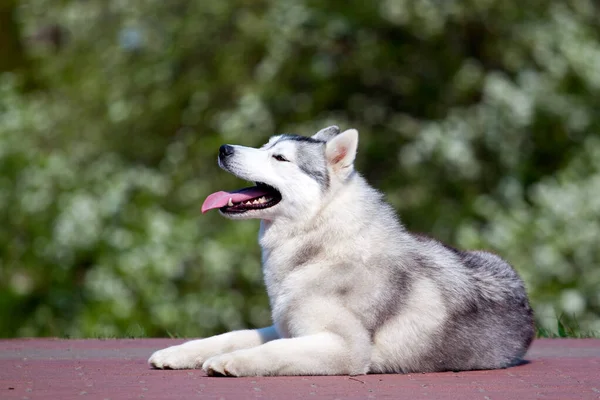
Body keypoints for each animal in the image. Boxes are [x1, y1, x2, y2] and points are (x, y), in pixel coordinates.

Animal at [150, 126, 536, 376]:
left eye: (279, 158)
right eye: (265, 145)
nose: (224, 148)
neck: (322, 245)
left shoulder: (343, 348)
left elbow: (268, 350)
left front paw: (232, 361)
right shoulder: (286, 326)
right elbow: (228, 337)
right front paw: (179, 352)